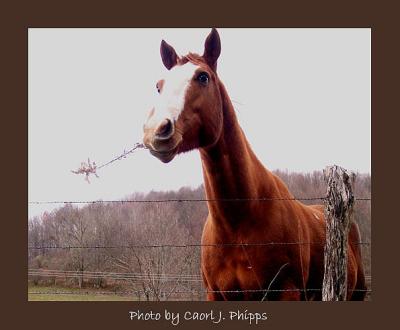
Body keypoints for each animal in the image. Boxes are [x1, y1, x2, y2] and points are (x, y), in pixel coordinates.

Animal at [141, 29, 366, 302]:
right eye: (159, 86)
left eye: (203, 77)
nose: (156, 130)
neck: (239, 220)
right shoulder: (215, 294)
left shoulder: (286, 292)